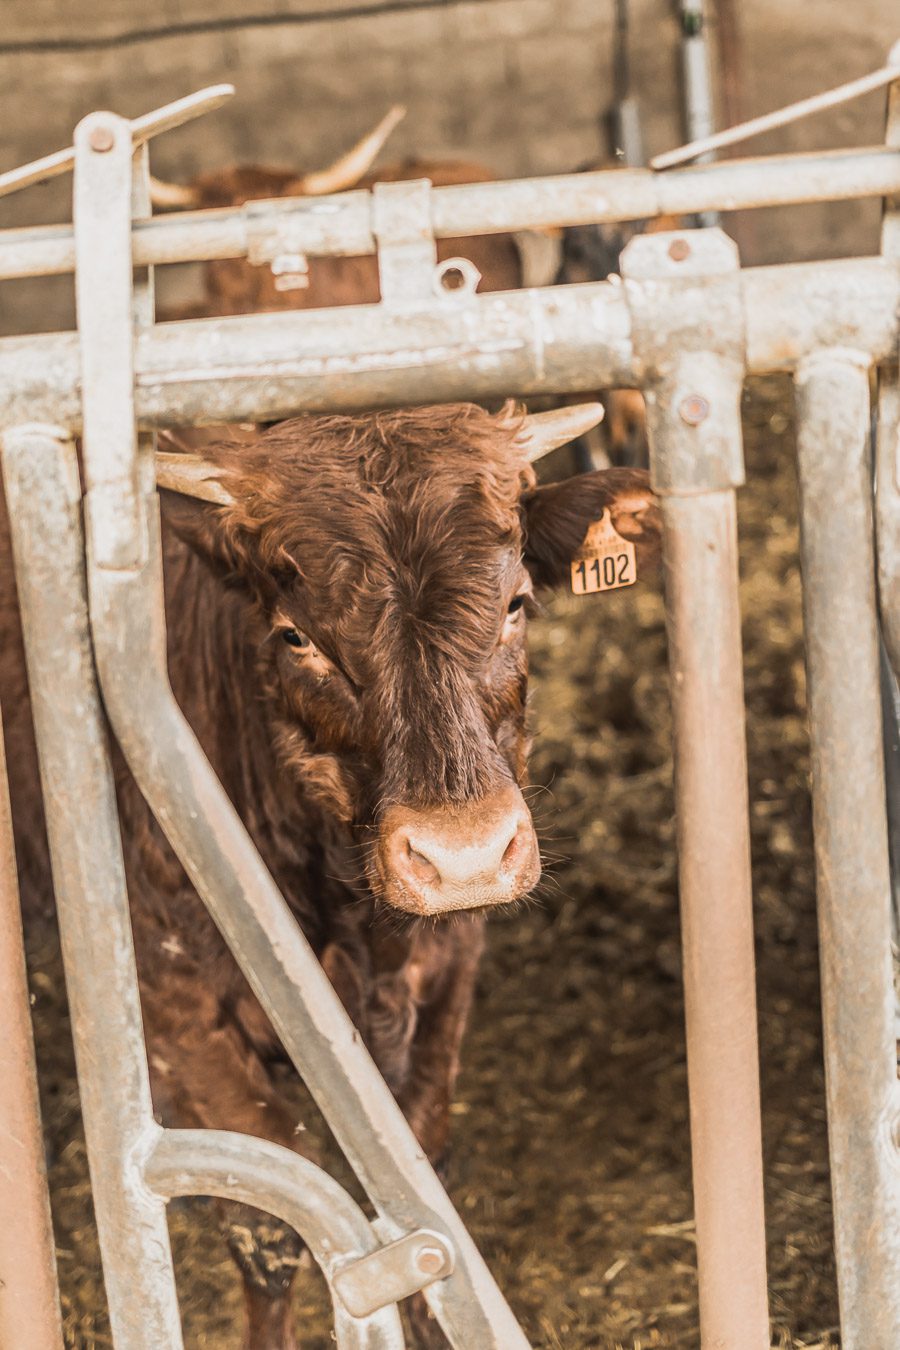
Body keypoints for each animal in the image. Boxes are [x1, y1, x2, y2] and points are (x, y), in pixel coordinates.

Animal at [3, 402, 658, 1350]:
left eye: (516, 604)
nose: (462, 854)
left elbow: (423, 1199)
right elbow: (274, 1225)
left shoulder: (448, 978)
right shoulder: (170, 1012)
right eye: (295, 637)